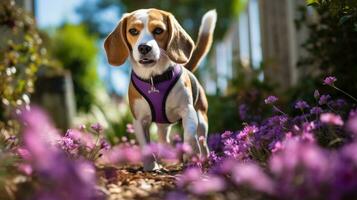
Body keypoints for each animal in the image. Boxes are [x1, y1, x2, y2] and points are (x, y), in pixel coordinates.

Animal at [102, 8, 214, 170]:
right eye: (133, 31)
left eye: (159, 30)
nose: (144, 47)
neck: (154, 78)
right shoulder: (139, 120)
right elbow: (145, 145)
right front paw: (151, 166)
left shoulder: (188, 111)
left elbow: (189, 135)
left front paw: (191, 156)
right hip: (163, 126)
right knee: (164, 141)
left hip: (202, 119)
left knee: (202, 141)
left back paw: (204, 159)